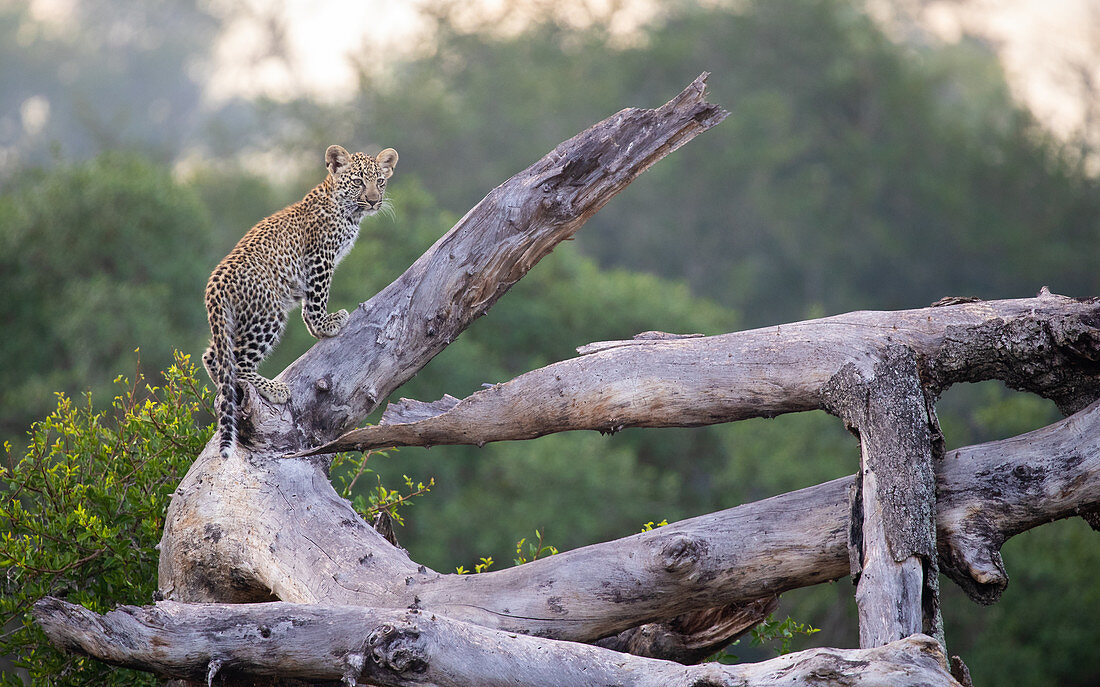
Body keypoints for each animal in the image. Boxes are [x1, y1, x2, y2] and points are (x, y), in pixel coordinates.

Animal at [204, 142, 398, 455]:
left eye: (380, 181)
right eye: (358, 181)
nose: (373, 201)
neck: (347, 211)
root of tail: (215, 284)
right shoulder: (319, 257)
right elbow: (317, 297)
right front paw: (325, 326)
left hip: (234, 321)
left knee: (214, 358)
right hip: (267, 314)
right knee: (238, 362)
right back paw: (274, 388)